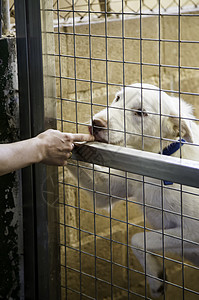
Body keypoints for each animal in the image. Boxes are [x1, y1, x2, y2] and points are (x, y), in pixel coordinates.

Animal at [68, 84, 199, 298]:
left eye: (140, 112)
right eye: (117, 98)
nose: (96, 123)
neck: (160, 157)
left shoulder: (193, 230)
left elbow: (138, 238)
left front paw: (155, 279)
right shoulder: (106, 190)